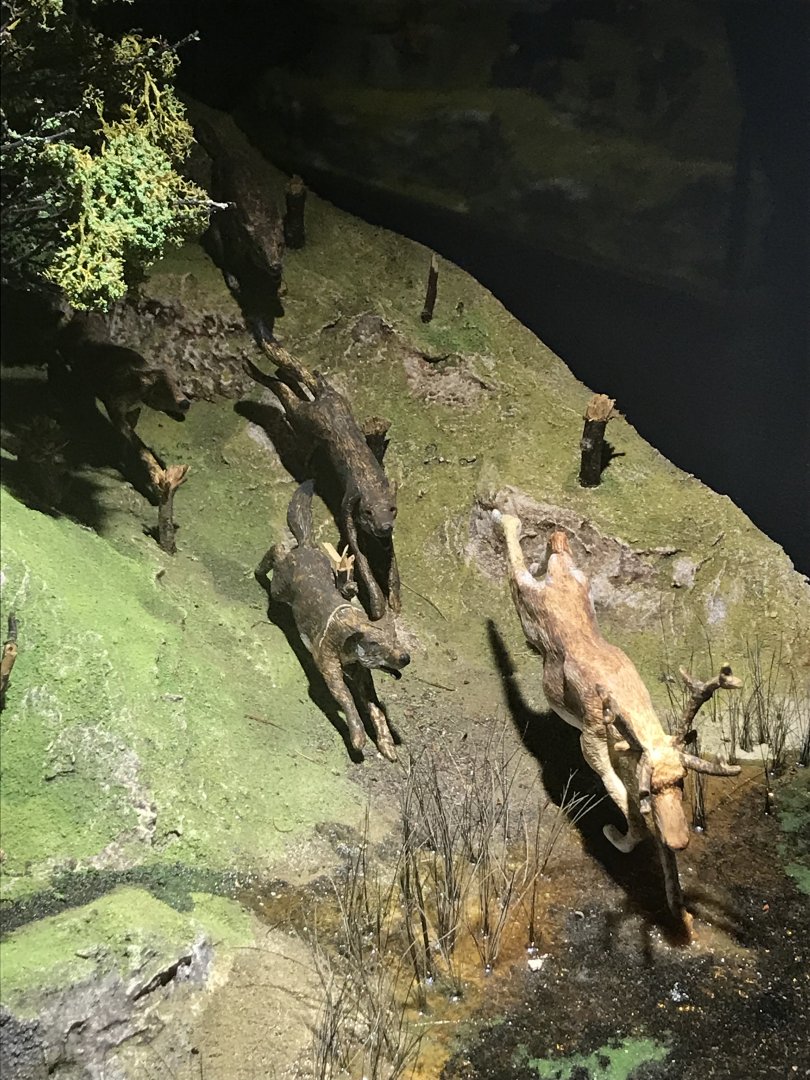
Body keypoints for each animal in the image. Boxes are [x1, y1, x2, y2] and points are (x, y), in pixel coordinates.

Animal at [492, 511, 742, 861]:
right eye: (649, 788)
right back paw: (503, 517)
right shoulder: (591, 740)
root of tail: (559, 577)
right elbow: (619, 793)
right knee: (517, 567)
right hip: (526, 604)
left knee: (556, 545)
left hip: (575, 575)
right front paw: (613, 834)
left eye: (682, 780)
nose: (679, 840)